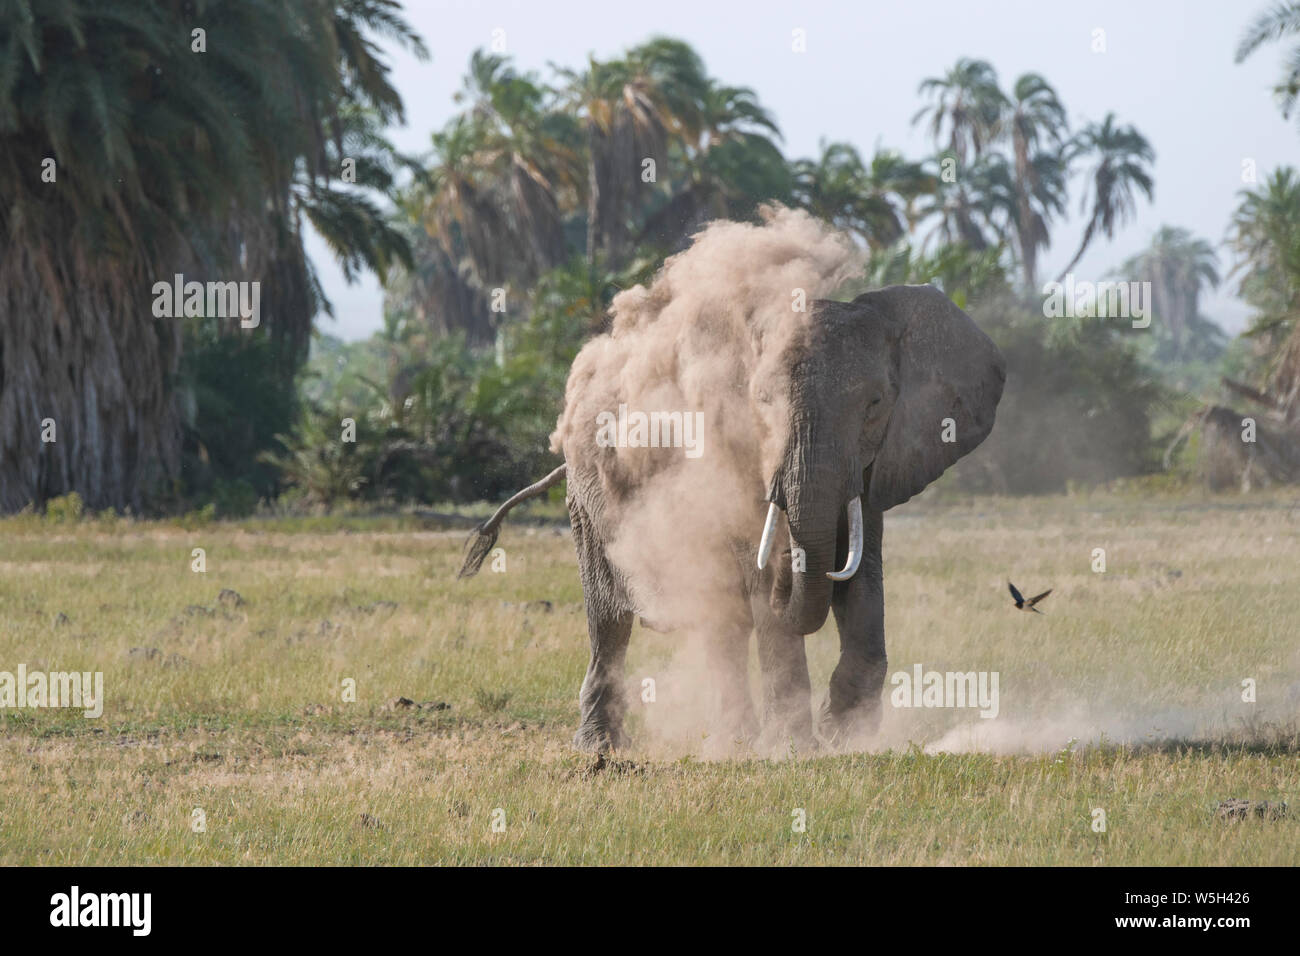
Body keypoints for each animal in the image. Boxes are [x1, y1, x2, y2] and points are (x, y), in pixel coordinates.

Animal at [459, 283, 1005, 754]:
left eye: (873, 404)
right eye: (760, 402)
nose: (790, 568)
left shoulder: (873, 466)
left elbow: (862, 579)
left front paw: (845, 737)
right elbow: (765, 586)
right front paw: (795, 750)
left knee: (723, 620)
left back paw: (733, 740)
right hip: (586, 500)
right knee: (610, 617)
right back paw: (604, 747)